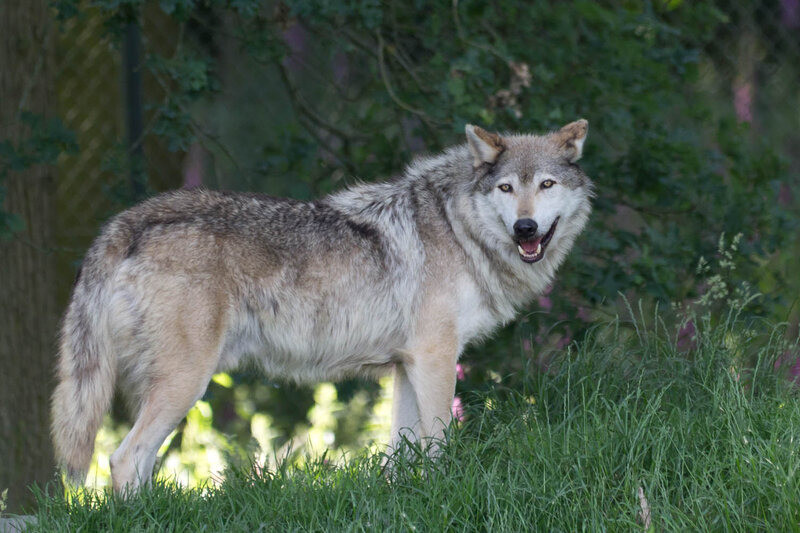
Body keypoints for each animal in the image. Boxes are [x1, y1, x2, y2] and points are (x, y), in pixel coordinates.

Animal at [51, 120, 593, 492]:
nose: (525, 228)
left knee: (139, 463)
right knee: (123, 459)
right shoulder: (436, 359)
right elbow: (439, 444)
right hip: (186, 383)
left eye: (545, 185)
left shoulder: (408, 365)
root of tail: (128, 222)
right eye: (507, 188)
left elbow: (402, 453)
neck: (457, 227)